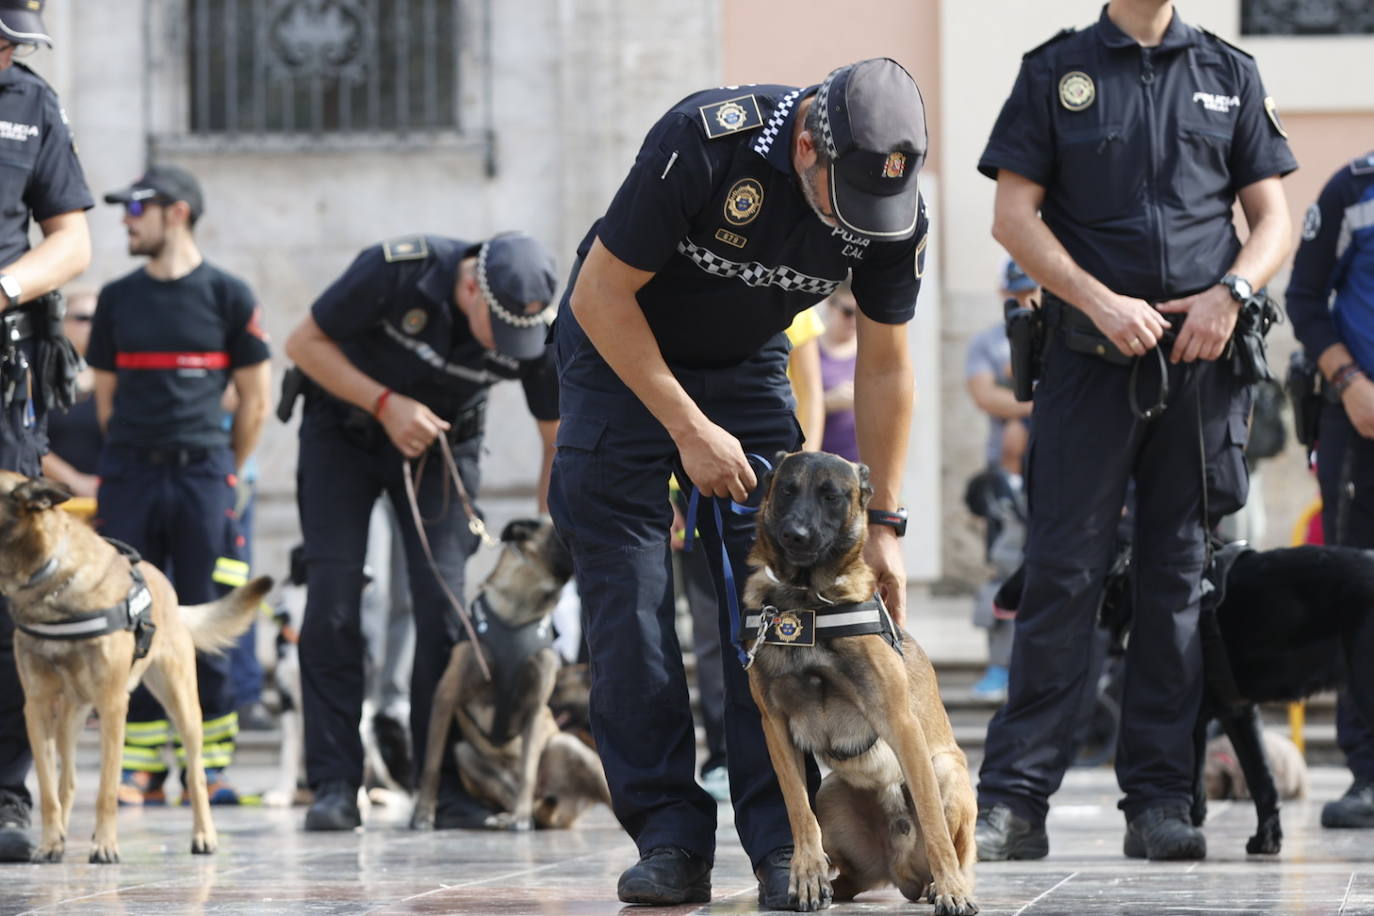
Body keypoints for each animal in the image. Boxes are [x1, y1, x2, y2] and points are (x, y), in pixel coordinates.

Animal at [0, 469, 272, 862]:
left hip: (182, 706)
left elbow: (107, 788)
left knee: (196, 773)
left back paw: (204, 835)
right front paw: (52, 841)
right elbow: (49, 790)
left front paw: (105, 844)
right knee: (68, 783)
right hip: (70, 717)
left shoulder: (113, 706)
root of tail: (167, 588)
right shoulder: (36, 708)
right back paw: (63, 838)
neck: (50, 577)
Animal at [406, 519, 612, 834]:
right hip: (466, 754)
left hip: (568, 746)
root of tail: (558, 814)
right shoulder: (446, 696)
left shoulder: (535, 708)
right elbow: (432, 763)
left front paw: (521, 818)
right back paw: (506, 816)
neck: (518, 614)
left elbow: (528, 768)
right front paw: (424, 813)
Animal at [741, 453, 978, 916]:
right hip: (832, 794)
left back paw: (945, 884)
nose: (795, 534)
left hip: (944, 769)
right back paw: (834, 882)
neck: (807, 601)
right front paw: (806, 873)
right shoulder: (774, 727)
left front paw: (952, 890)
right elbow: (798, 809)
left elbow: (933, 823)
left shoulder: (901, 723)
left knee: (956, 851)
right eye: (787, 490)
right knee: (849, 875)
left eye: (831, 496)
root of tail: (902, 874)